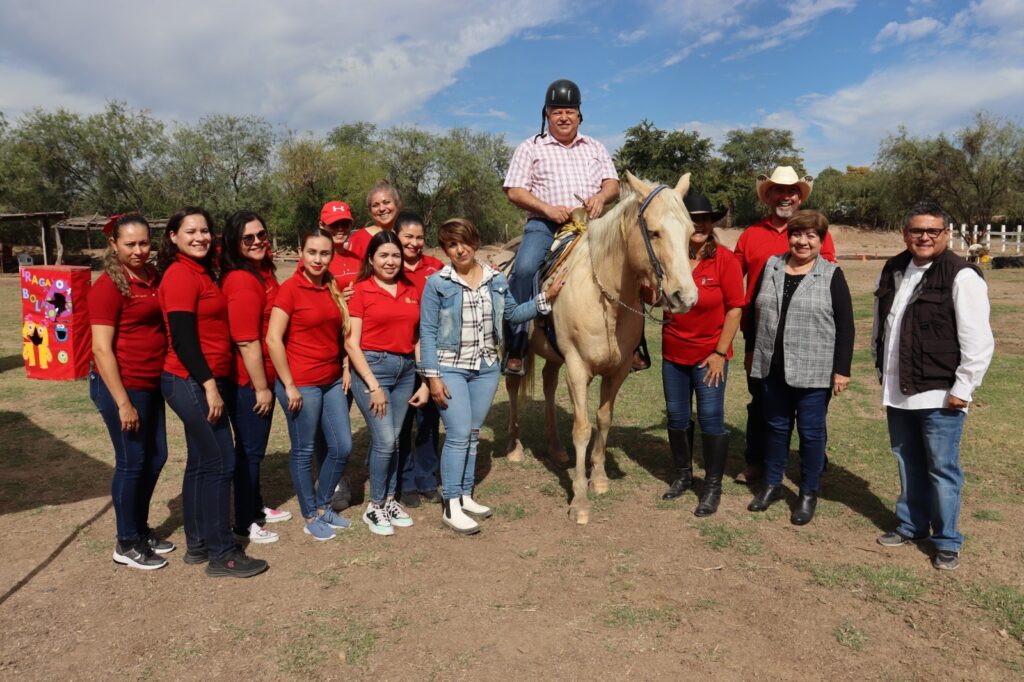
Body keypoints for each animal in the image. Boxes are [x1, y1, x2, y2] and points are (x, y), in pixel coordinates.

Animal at [505, 173, 700, 522]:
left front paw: (598, 479)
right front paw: (580, 501)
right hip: (518, 352)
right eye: (654, 232)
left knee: (549, 384)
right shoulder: (577, 368)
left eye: (690, 232)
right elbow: (582, 428)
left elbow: (604, 419)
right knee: (514, 387)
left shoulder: (617, 371)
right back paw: (515, 448)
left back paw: (556, 449)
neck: (606, 298)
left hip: (554, 357)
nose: (685, 297)